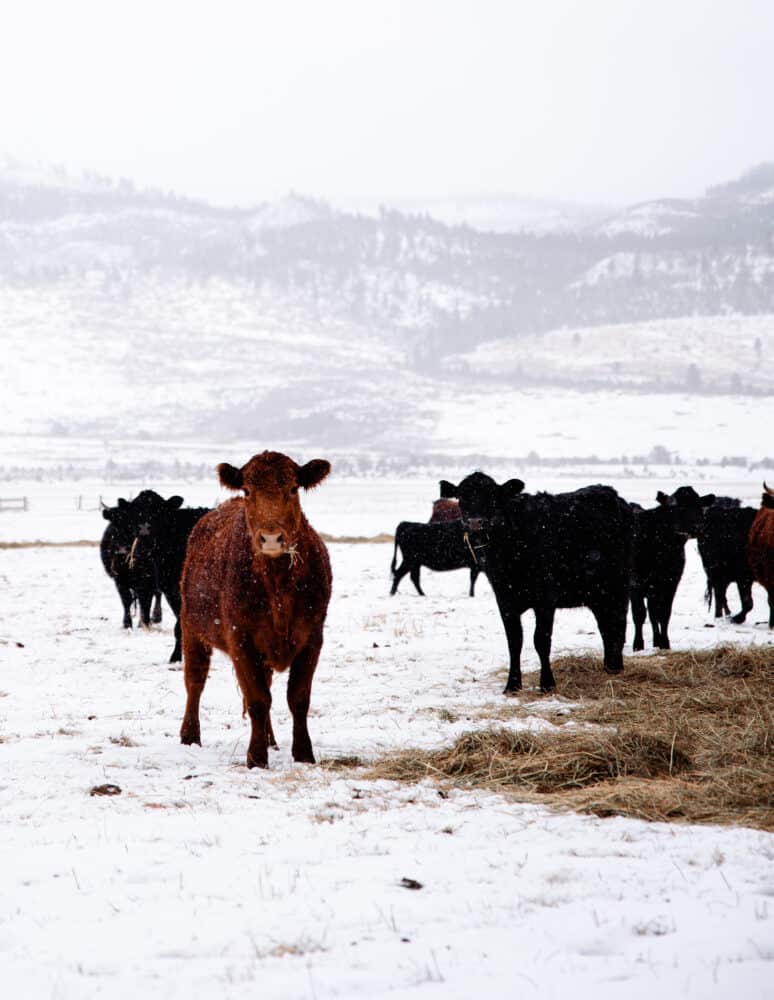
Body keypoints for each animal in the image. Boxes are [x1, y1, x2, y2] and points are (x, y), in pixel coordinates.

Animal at [101, 498, 163, 628]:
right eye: (114, 524)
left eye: (131, 524)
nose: (121, 550)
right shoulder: (119, 579)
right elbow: (127, 599)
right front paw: (127, 623)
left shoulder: (146, 577)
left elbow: (146, 599)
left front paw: (146, 621)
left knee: (155, 593)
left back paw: (155, 617)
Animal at [181, 450, 334, 768]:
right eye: (248, 491)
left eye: (293, 488)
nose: (272, 538)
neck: (277, 586)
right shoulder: (240, 639)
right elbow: (257, 699)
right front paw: (256, 757)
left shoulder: (313, 637)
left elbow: (298, 698)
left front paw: (303, 753)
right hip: (191, 628)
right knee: (195, 680)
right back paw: (189, 735)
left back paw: (271, 739)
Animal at [440, 476, 632, 696]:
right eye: (462, 497)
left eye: (493, 496)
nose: (475, 522)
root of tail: (609, 492)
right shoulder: (505, 599)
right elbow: (514, 641)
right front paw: (512, 684)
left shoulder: (546, 599)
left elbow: (541, 640)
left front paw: (547, 684)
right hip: (597, 593)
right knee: (605, 625)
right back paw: (609, 666)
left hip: (617, 585)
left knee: (618, 622)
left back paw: (616, 667)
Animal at [632, 486, 720, 656]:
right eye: (678, 507)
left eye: (699, 506)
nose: (698, 527)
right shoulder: (636, 583)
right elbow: (639, 614)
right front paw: (638, 645)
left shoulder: (671, 582)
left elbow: (664, 614)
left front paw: (664, 643)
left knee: (653, 613)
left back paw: (656, 640)